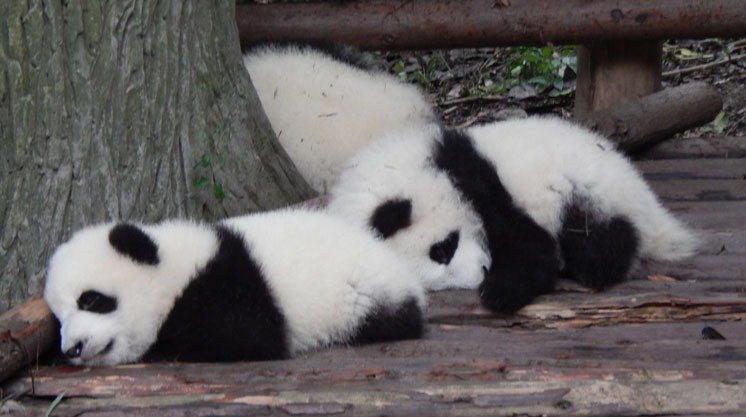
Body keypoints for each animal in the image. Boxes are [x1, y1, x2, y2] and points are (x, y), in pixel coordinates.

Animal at [44, 209, 425, 367]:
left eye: (92, 300)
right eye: (59, 319)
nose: (72, 348)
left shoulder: (228, 288)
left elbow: (245, 338)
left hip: (363, 295)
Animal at [327, 116, 700, 312]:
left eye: (442, 249)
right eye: (438, 274)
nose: (480, 273)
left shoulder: (478, 179)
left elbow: (530, 247)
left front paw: (499, 290)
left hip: (591, 190)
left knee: (601, 239)